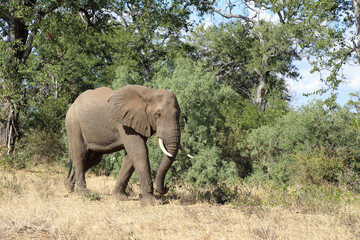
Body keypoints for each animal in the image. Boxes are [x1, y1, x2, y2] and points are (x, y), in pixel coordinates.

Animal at [64, 84, 194, 204]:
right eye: (158, 114)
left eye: (179, 115)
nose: (167, 187)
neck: (149, 93)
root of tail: (72, 104)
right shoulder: (124, 123)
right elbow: (139, 151)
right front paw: (150, 203)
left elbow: (131, 157)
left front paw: (120, 197)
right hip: (73, 124)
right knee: (80, 156)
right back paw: (83, 193)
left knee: (93, 160)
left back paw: (69, 187)